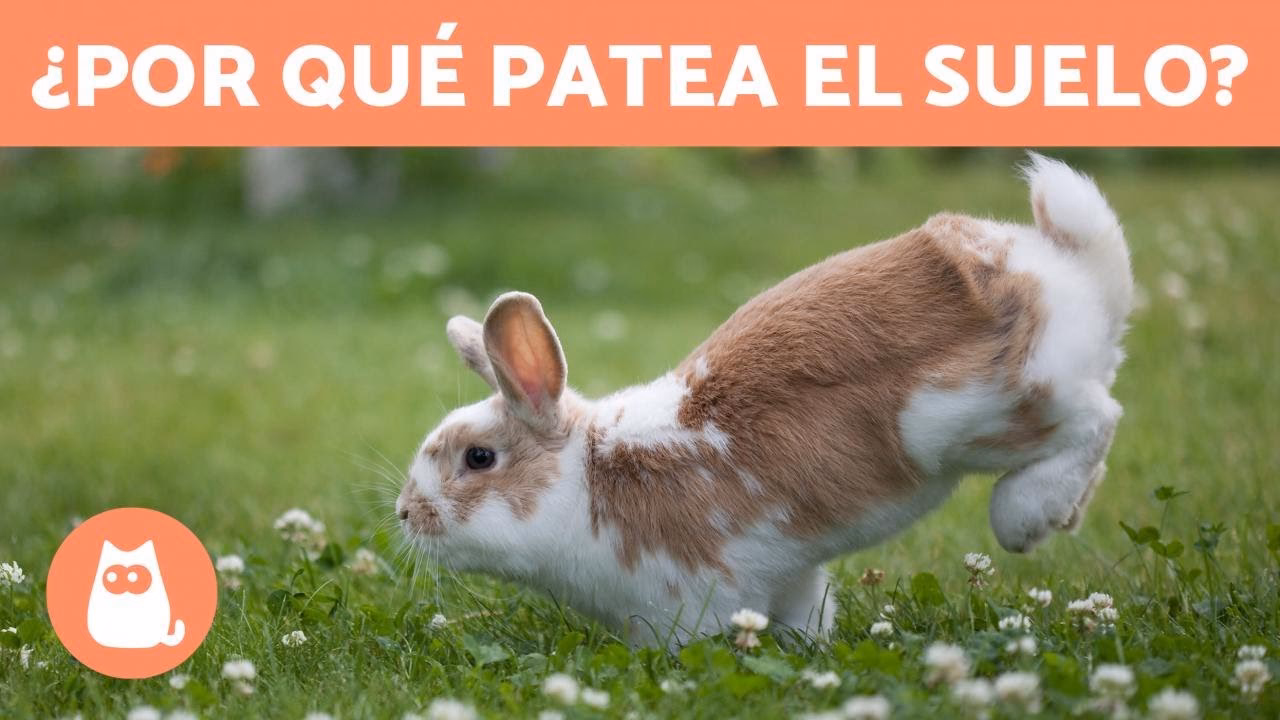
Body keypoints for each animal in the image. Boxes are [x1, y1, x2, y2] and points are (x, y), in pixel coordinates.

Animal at [397, 153, 1132, 647]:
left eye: (479, 459)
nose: (405, 514)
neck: (588, 477)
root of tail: (1068, 269)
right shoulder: (789, 576)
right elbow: (807, 614)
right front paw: (812, 651)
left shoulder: (687, 599)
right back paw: (1061, 515)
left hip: (982, 414)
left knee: (1098, 419)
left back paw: (1026, 518)